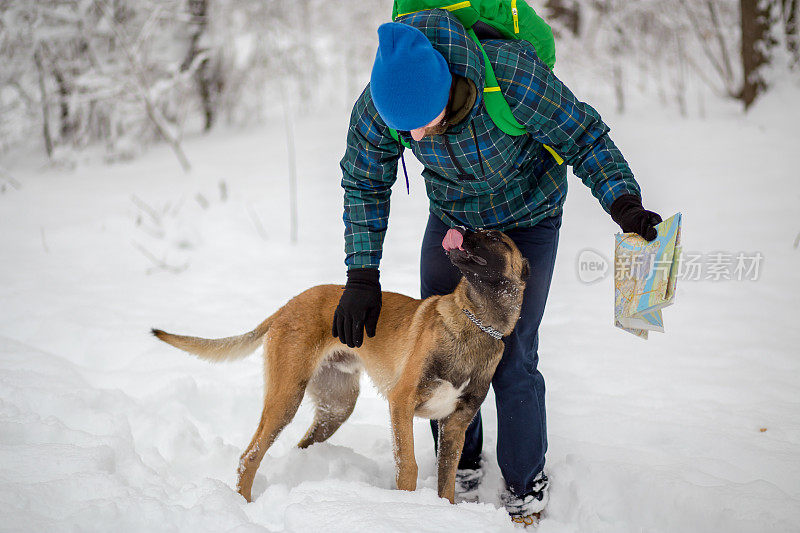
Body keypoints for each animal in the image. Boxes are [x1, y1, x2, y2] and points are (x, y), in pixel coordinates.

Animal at [155, 227, 532, 500]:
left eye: (495, 237)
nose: (462, 227)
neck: (477, 324)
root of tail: (287, 305)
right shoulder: (402, 402)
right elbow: (407, 467)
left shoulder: (455, 425)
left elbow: (447, 482)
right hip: (286, 398)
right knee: (249, 456)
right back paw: (242, 503)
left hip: (336, 407)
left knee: (299, 445)